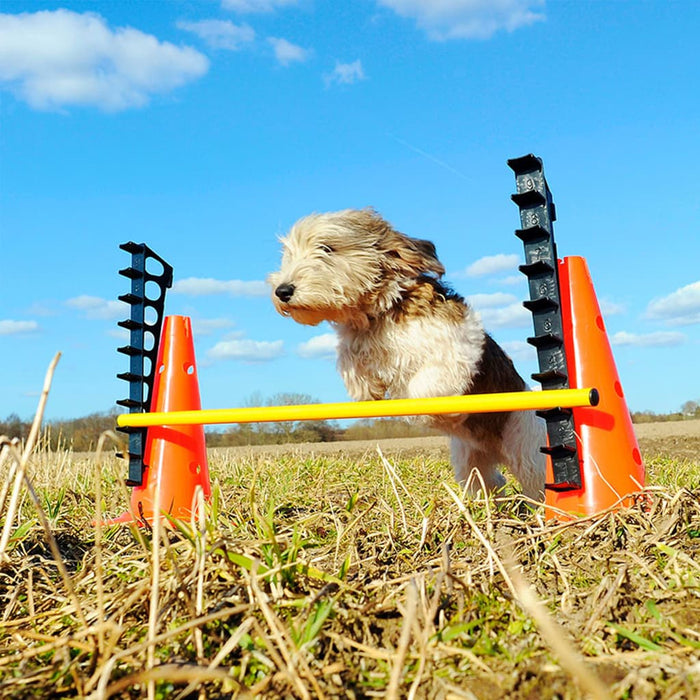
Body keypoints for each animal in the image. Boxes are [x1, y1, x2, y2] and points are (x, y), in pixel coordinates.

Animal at [268, 205, 548, 500]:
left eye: (326, 248)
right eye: (288, 254)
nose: (282, 290)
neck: (382, 313)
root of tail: (495, 449)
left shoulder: (457, 348)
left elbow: (426, 385)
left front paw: (422, 412)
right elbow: (353, 363)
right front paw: (367, 387)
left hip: (528, 452)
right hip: (469, 461)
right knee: (491, 482)